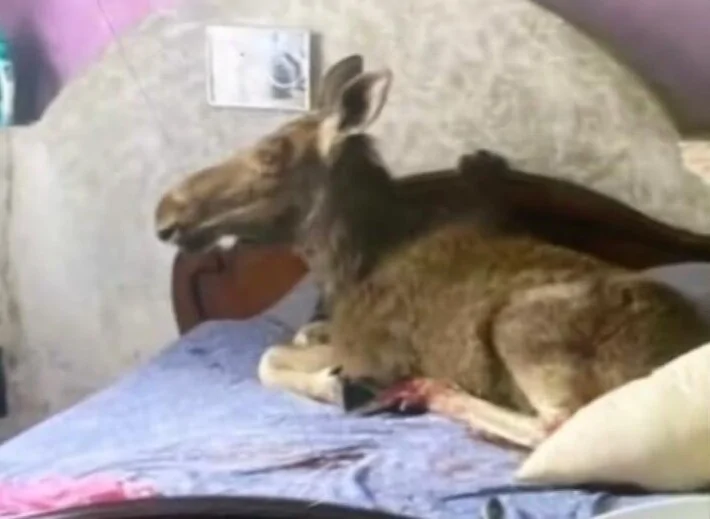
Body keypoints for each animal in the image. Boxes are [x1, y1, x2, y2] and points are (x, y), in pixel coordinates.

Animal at [155, 56, 710, 449]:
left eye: (271, 155)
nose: (166, 210)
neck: (347, 265)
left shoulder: (369, 351)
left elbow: (268, 358)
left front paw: (330, 383)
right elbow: (294, 336)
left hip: (524, 329)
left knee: (558, 425)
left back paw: (434, 392)